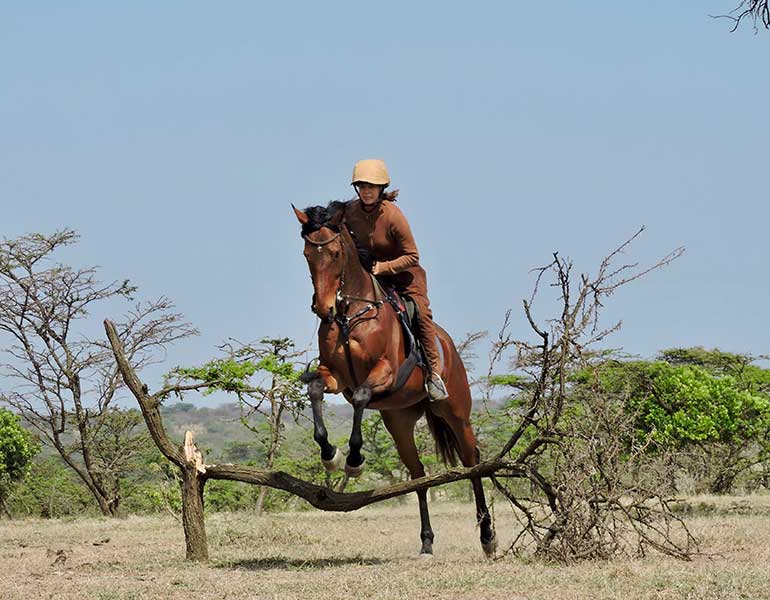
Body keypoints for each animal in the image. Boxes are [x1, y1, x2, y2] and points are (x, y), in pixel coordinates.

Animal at [292, 202, 496, 556]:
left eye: (334, 253)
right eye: (306, 254)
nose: (324, 309)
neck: (350, 315)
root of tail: (448, 345)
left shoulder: (383, 373)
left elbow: (361, 397)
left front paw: (354, 461)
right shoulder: (335, 378)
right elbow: (316, 389)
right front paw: (330, 454)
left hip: (457, 413)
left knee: (472, 463)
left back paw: (487, 537)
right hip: (399, 421)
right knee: (418, 474)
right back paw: (426, 541)